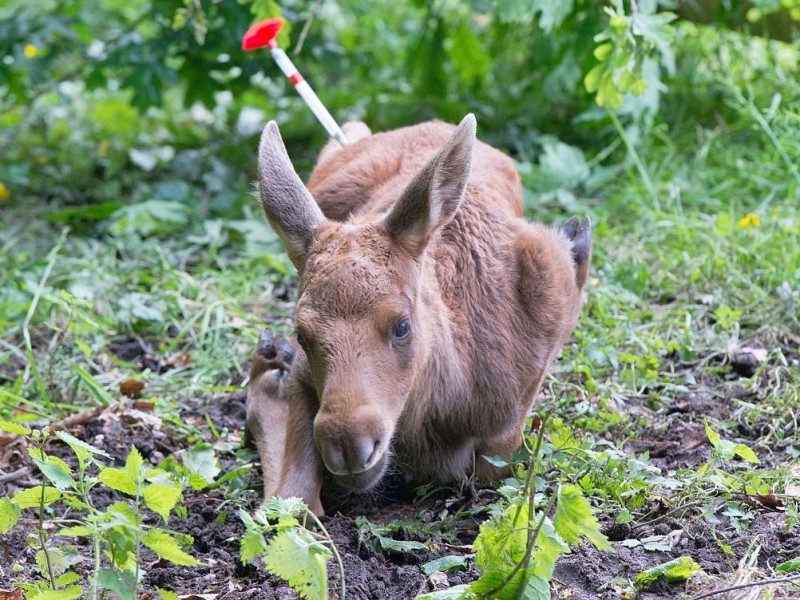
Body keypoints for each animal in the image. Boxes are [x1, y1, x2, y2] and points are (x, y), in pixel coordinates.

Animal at [247, 115, 592, 512]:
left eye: (402, 326)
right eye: (302, 334)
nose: (347, 445)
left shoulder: (509, 420)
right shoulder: (305, 378)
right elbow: (290, 501)